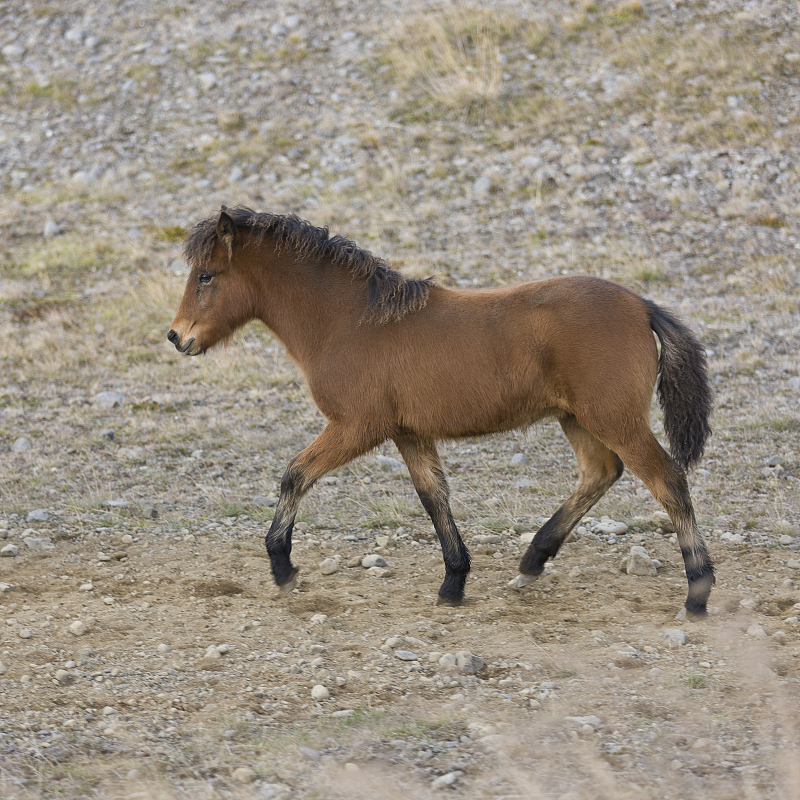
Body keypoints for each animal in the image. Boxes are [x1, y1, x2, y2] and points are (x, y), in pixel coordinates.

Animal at [167, 206, 712, 620]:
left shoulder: (356, 427)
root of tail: (641, 306)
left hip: (612, 418)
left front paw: (282, 567)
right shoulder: (408, 433)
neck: (349, 321)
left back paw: (698, 593)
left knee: (667, 481)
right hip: (576, 418)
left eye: (206, 276)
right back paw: (532, 562)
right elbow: (434, 498)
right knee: (600, 473)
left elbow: (295, 474)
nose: (177, 336)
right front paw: (454, 581)